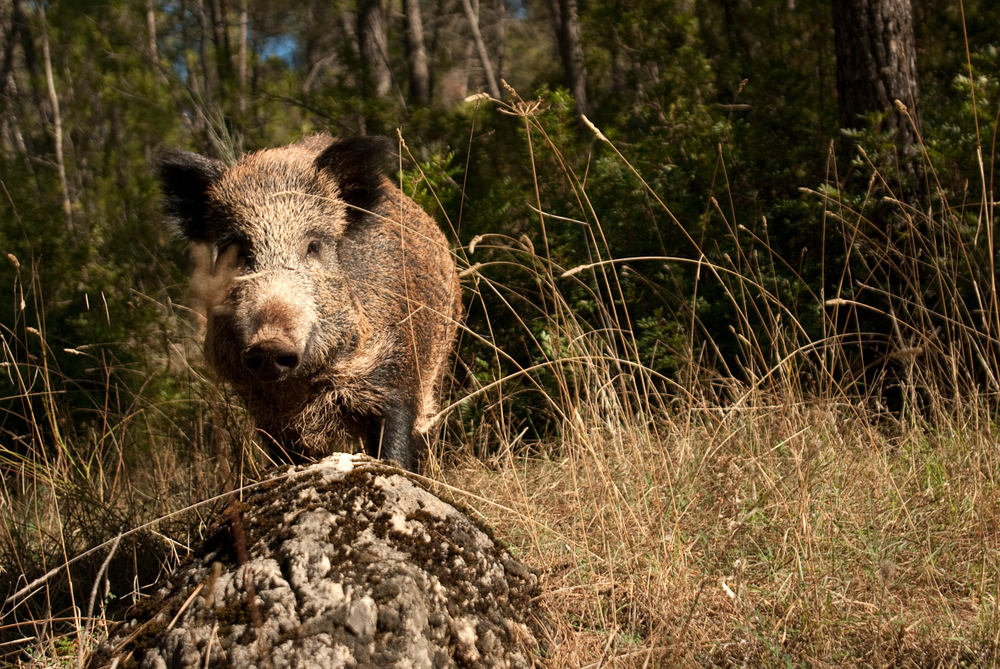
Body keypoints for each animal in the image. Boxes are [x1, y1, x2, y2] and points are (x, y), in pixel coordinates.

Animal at [155, 134, 461, 472]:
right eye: (238, 250)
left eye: (314, 246)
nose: (269, 343)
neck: (302, 389)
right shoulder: (266, 412)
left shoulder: (396, 371)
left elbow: (394, 445)